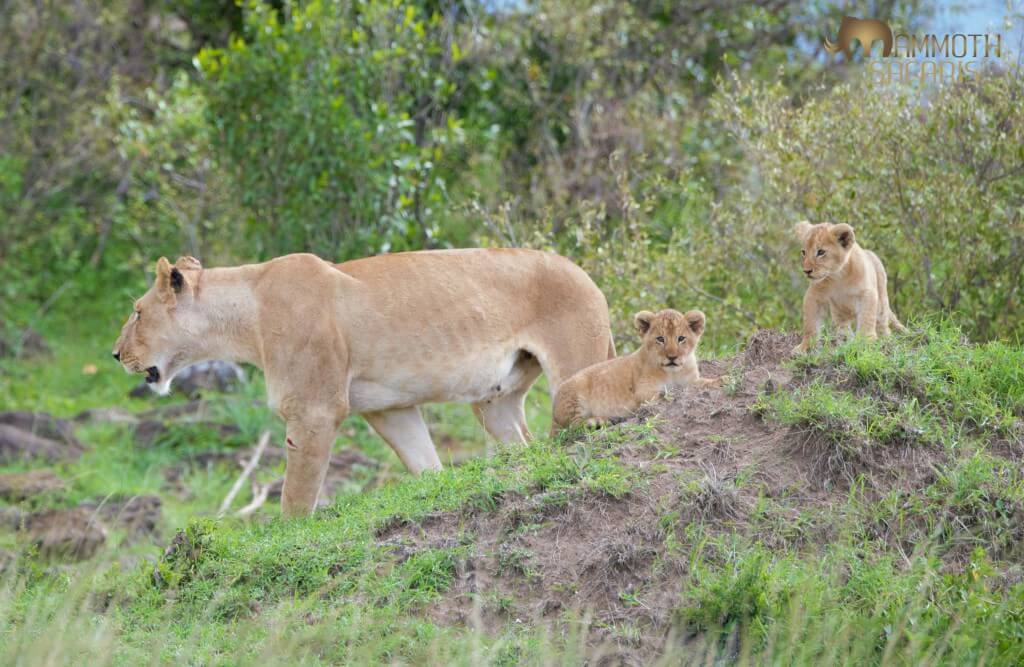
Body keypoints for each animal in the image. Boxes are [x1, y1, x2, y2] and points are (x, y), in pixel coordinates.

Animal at [113, 250, 615, 517]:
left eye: (137, 312)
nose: (115, 354)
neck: (246, 317)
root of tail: (585, 272)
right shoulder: (389, 409)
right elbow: (425, 464)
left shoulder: (314, 410)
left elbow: (296, 497)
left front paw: (288, 534)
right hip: (494, 400)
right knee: (523, 445)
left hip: (575, 367)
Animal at [551, 309, 718, 430]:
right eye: (660, 339)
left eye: (681, 338)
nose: (672, 357)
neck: (672, 373)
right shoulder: (643, 391)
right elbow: (662, 395)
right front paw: (670, 394)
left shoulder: (691, 380)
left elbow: (703, 383)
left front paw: (720, 380)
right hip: (574, 394)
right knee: (574, 426)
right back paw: (602, 420)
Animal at [792, 221, 905, 355]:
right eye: (803, 252)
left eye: (821, 252)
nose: (806, 271)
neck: (838, 276)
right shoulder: (814, 296)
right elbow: (810, 324)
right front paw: (805, 347)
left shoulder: (867, 294)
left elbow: (867, 317)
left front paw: (866, 341)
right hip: (839, 312)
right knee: (843, 327)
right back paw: (844, 342)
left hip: (881, 302)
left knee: (883, 324)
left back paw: (886, 340)